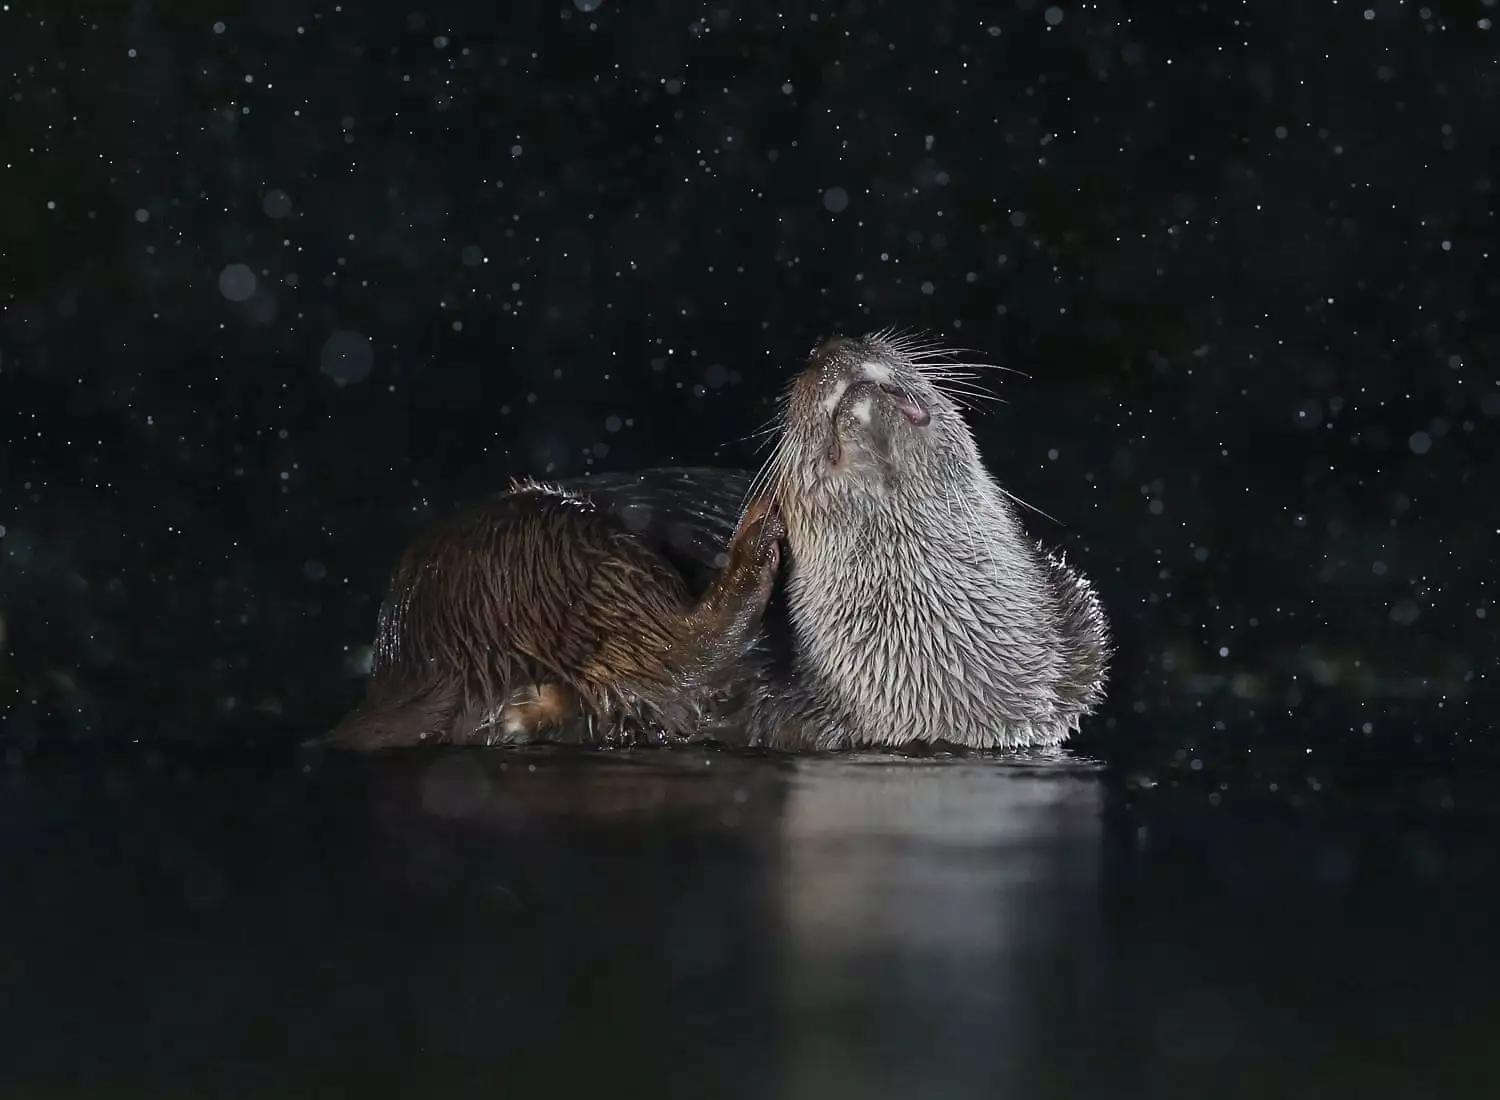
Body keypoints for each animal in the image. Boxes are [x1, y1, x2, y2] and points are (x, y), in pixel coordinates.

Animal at [323, 331, 1108, 752]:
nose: (831, 346)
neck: (947, 676)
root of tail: (400, 654)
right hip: (547, 549)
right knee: (665, 642)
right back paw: (753, 544)